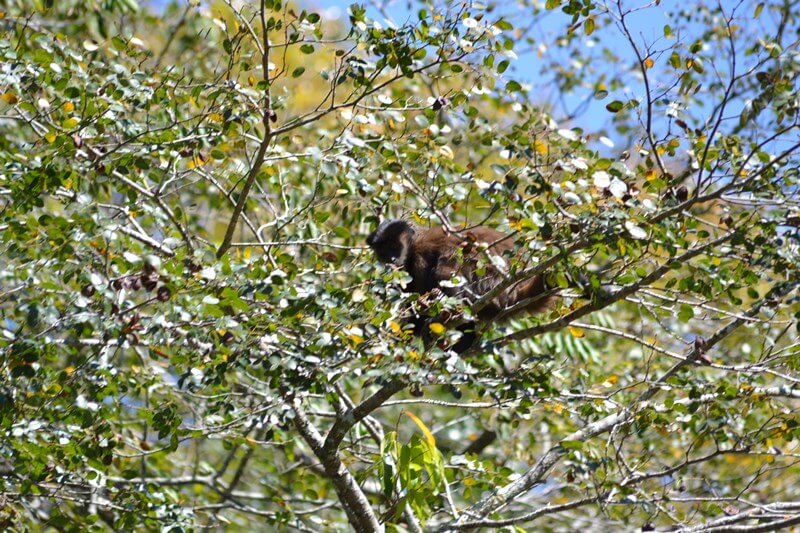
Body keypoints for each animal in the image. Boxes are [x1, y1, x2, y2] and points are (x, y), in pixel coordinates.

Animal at [366, 219, 554, 352]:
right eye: (383, 252)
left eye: (394, 246)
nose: (391, 259)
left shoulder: (420, 252)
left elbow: (446, 273)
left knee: (450, 263)